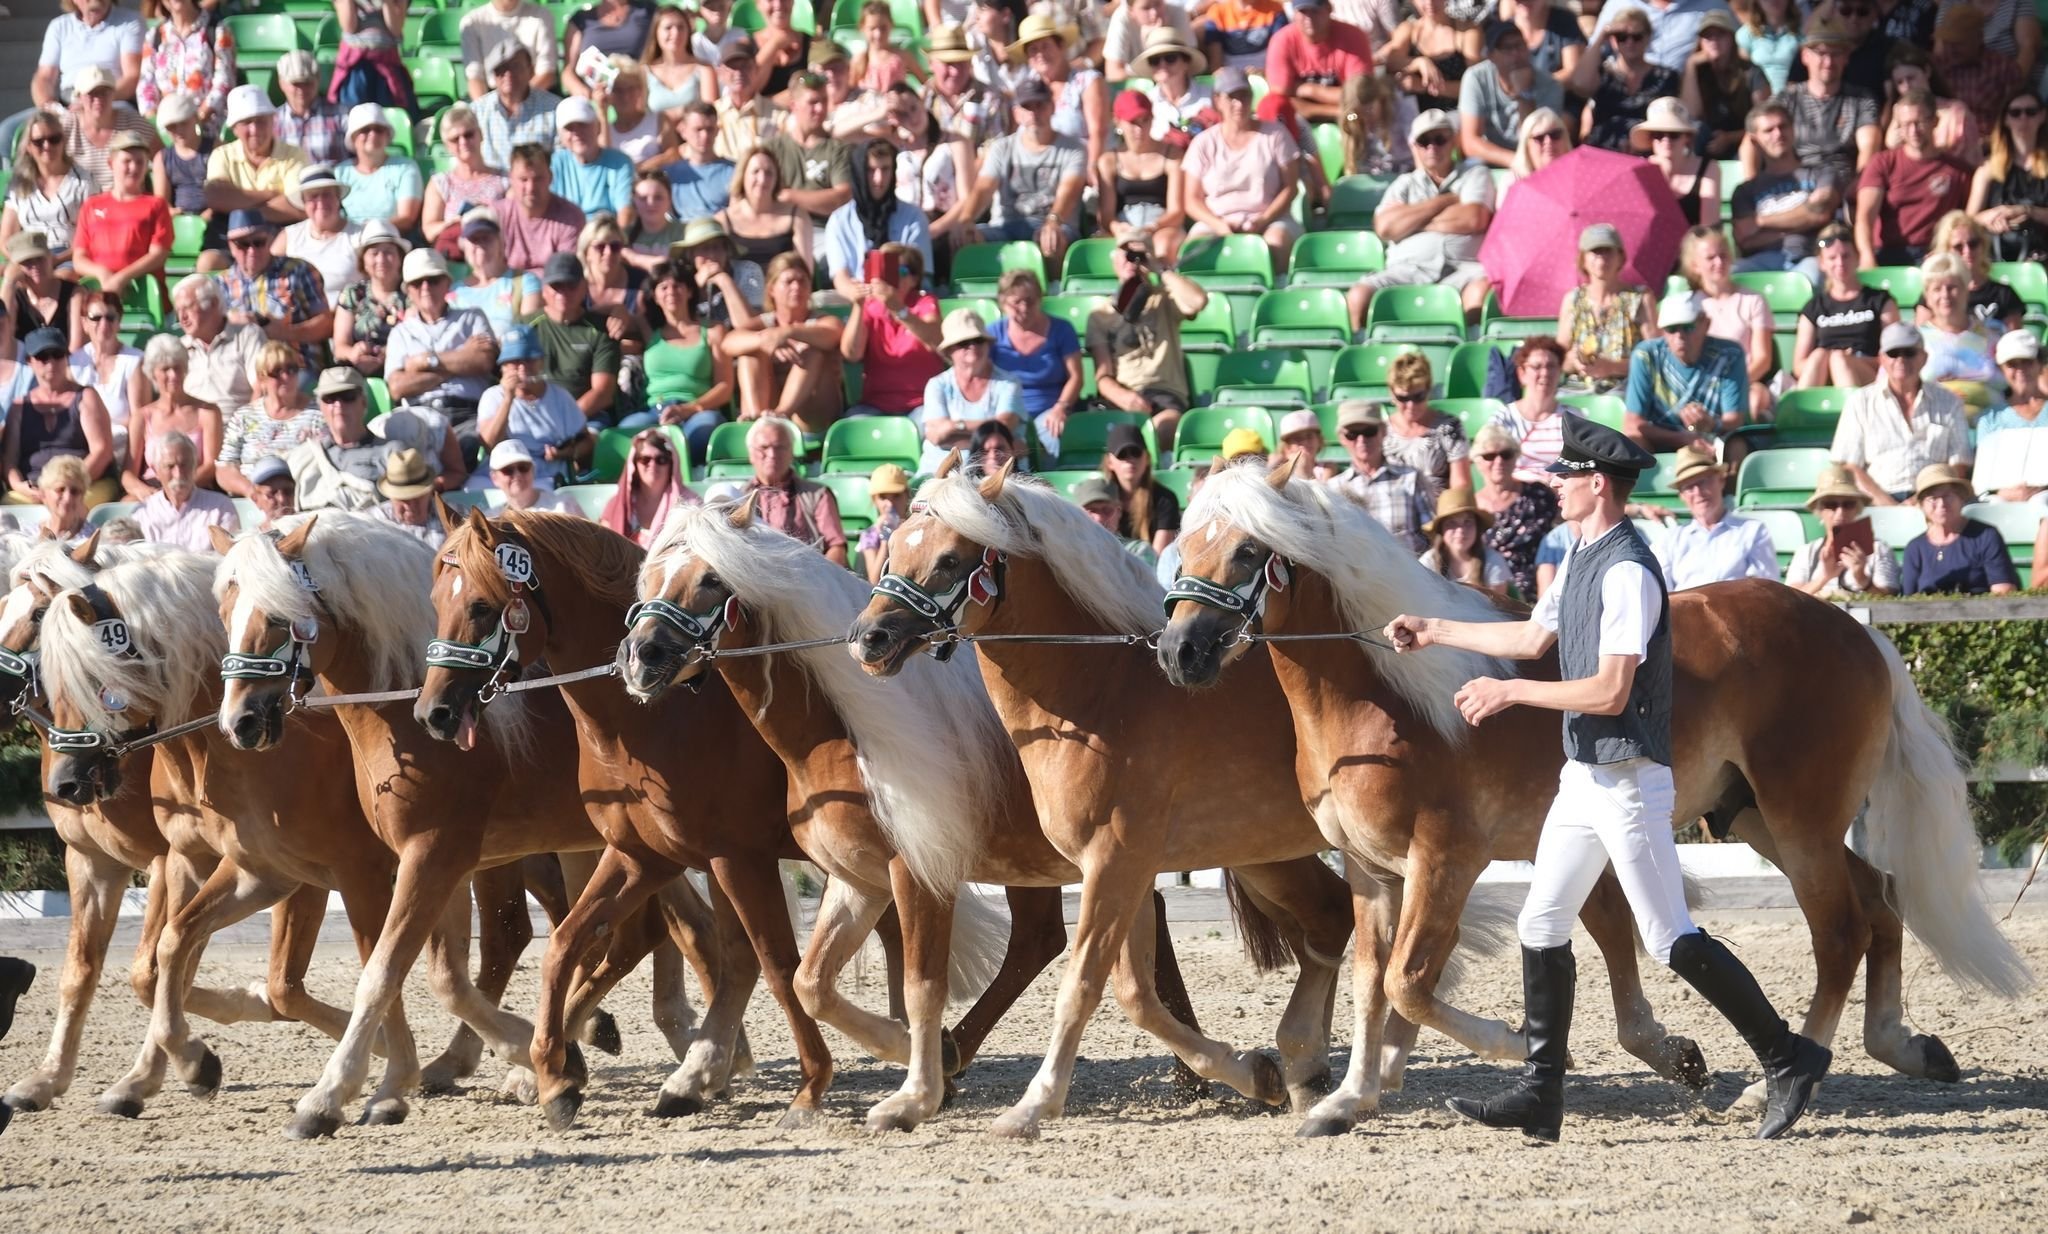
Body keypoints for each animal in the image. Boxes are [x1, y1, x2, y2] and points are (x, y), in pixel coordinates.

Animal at [32, 548, 430, 1129]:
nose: (64, 785)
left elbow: (312, 977)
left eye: (89, 677)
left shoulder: (333, 877)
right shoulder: (201, 862)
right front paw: (172, 1067)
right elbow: (160, 955)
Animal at [214, 513, 729, 1137]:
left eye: (278, 617)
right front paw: (413, 1080)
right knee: (666, 933)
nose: (239, 722)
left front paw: (330, 1095)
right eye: (225, 614)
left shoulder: (432, 856)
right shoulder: (439, 863)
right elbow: (444, 975)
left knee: (671, 934)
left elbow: (387, 973)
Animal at [851, 460, 1744, 1137]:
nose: (871, 638)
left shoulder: (1119, 860)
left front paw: (1031, 1106)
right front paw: (1254, 1071)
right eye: (889, 545)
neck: (1101, 691)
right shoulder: (1128, 865)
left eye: (948, 559)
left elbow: (1084, 986)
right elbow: (1135, 993)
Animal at [1155, 460, 2031, 1129]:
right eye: (1183, 548)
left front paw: (1518, 1044)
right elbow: (1375, 983)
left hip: (1800, 823)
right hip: (1761, 821)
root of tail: (1857, 632)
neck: (1386, 698)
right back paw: (1903, 1047)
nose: (1179, 651)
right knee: (1880, 900)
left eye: (1246, 551)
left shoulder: (1446, 859)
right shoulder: (1374, 872)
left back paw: (1773, 1088)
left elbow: (1409, 978)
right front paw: (1349, 1099)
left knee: (1841, 931)